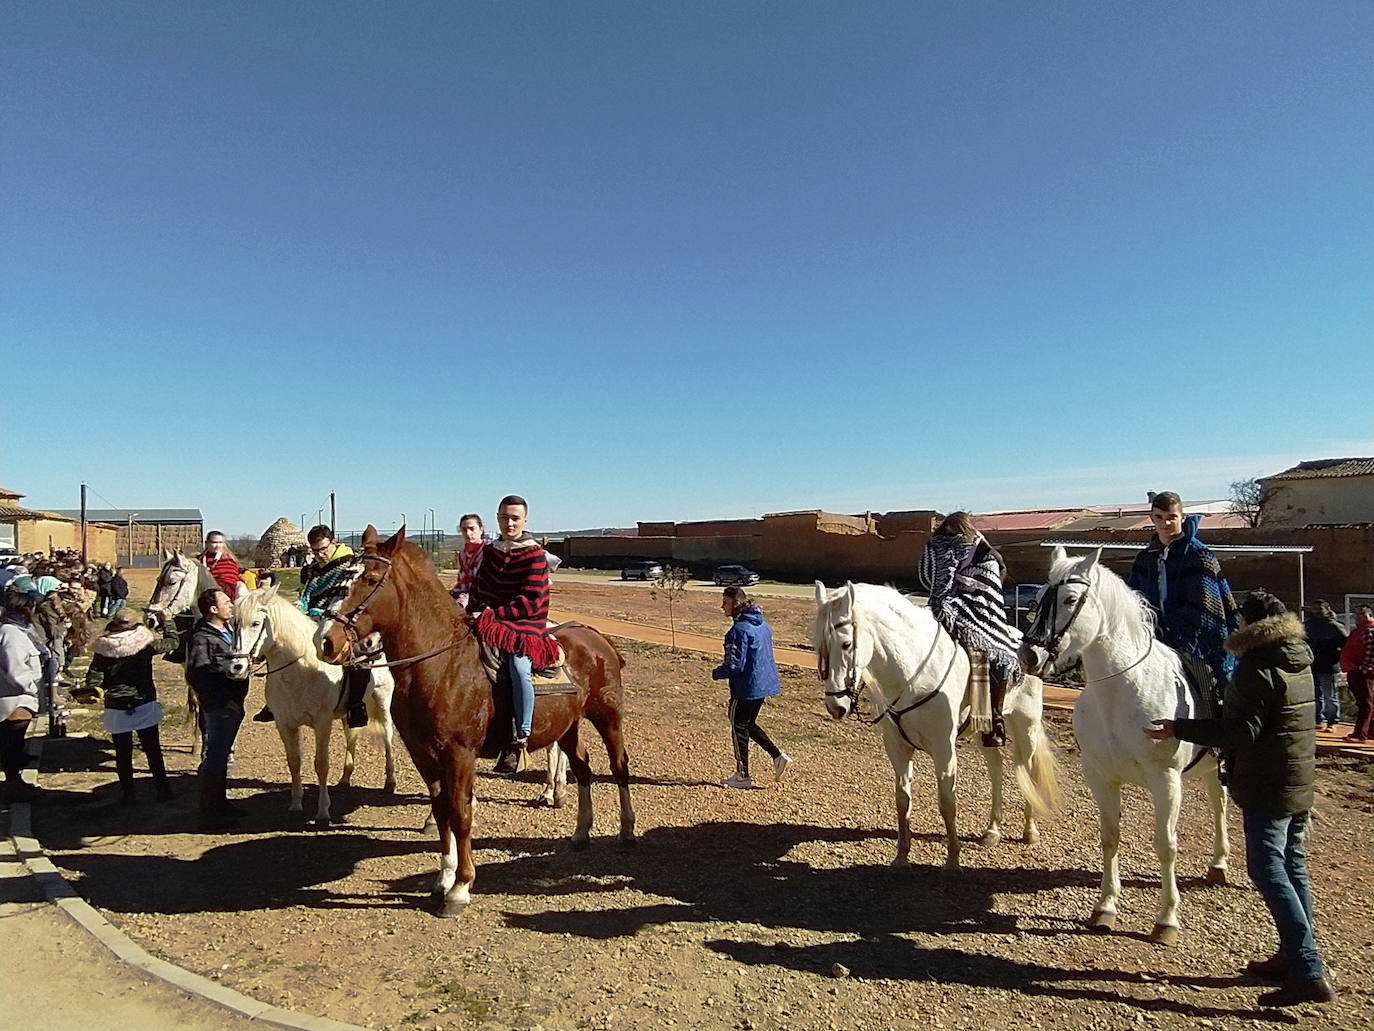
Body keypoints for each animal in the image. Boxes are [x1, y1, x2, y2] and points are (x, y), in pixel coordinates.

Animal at [228, 585, 401, 830]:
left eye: (255, 623)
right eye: (232, 622)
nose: (236, 667)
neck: (300, 668)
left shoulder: (322, 723)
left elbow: (321, 764)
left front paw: (322, 812)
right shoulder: (285, 724)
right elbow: (294, 762)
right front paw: (296, 803)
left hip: (383, 700)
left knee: (387, 736)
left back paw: (390, 781)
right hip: (350, 713)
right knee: (352, 736)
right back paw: (346, 777)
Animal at [314, 527, 634, 918]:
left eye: (371, 579)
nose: (326, 640)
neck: (440, 663)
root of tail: (596, 638)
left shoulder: (459, 755)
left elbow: (461, 815)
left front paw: (460, 888)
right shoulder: (424, 755)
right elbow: (442, 813)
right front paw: (442, 879)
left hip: (608, 716)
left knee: (619, 767)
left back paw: (626, 833)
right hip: (568, 726)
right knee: (583, 769)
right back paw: (581, 833)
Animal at [813, 582, 1060, 874]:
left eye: (847, 643)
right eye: (820, 645)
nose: (835, 705)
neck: (913, 674)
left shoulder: (944, 749)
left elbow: (947, 802)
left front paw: (953, 861)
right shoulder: (897, 747)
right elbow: (902, 800)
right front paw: (901, 858)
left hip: (1026, 727)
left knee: (1029, 771)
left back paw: (1030, 831)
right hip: (985, 733)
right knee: (996, 771)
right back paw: (992, 831)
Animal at [1022, 549, 1236, 945]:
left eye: (1070, 600)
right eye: (1040, 597)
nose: (1029, 656)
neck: (1122, 690)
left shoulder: (1165, 780)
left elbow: (1166, 846)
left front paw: (1167, 919)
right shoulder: (1100, 777)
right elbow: (1110, 837)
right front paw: (1105, 906)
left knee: (1219, 806)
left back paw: (1219, 864)